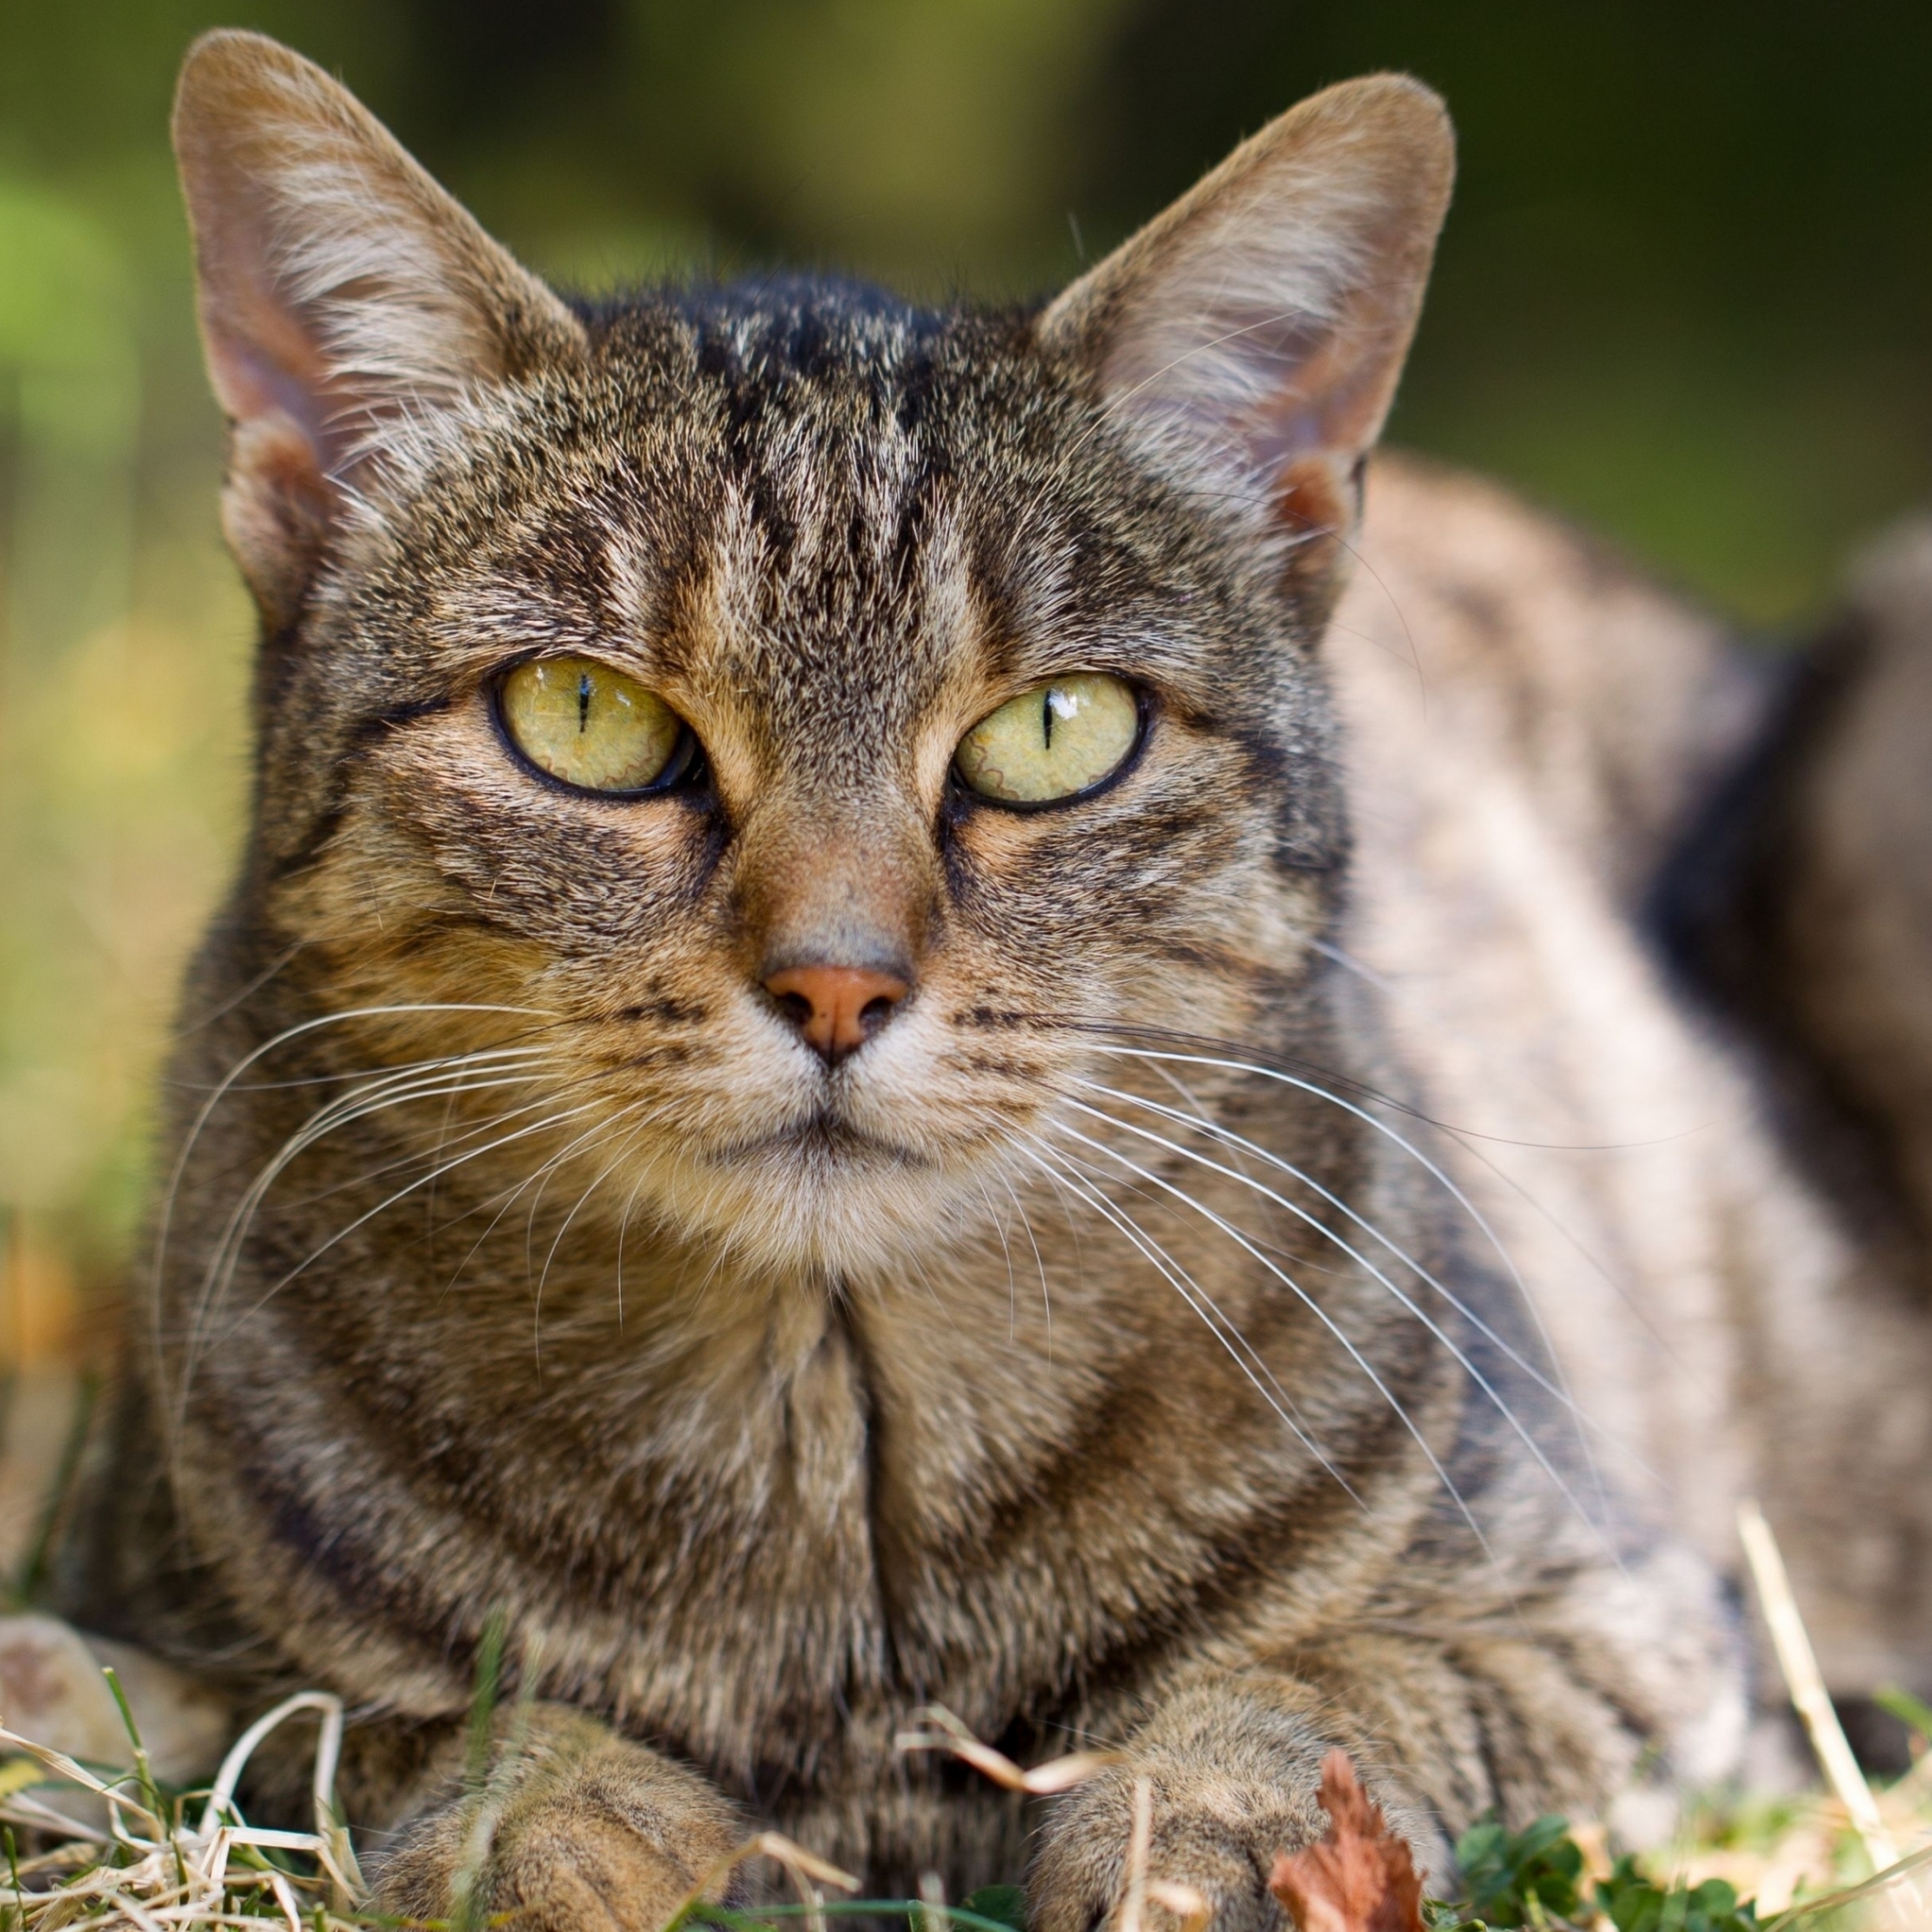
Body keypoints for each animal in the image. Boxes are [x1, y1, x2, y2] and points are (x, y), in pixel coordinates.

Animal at [56, 26, 1932, 1932]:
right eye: (584, 716)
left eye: (1052, 733)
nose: (834, 986)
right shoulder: (144, 1625)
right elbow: (375, 1718)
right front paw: (552, 1820)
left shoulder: (1608, 1623)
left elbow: (1319, 1689)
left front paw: (1202, 1822)